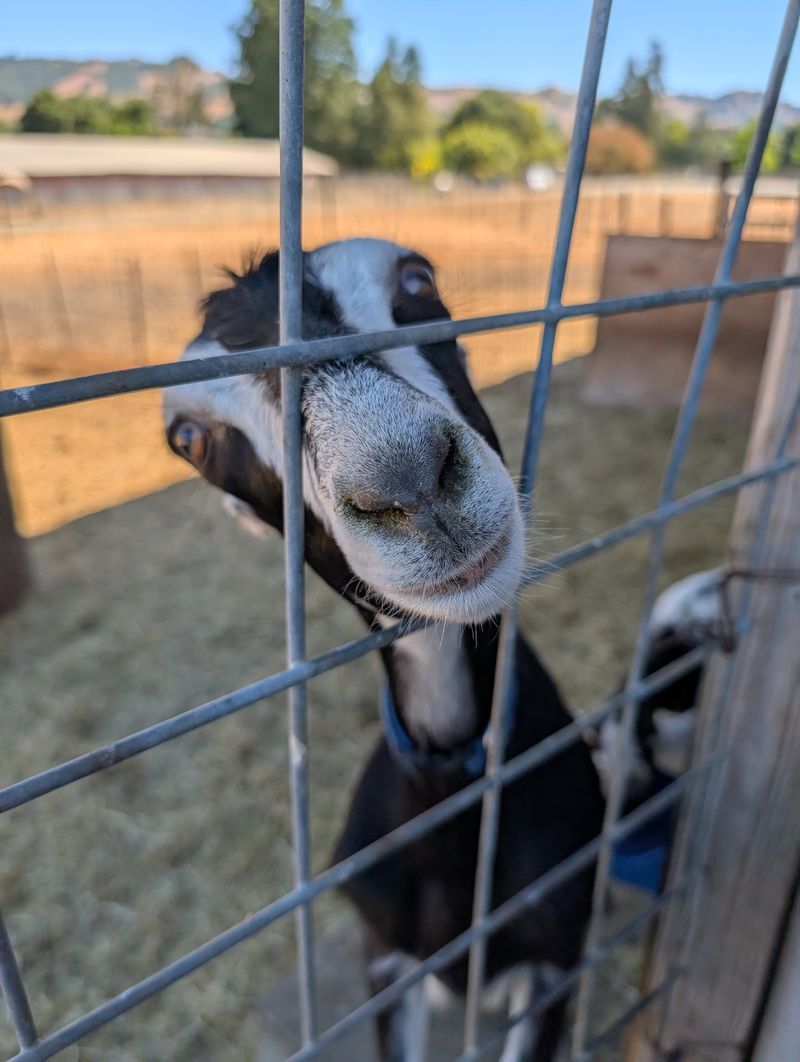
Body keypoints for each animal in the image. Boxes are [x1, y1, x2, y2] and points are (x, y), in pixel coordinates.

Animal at [164, 239, 605, 1061]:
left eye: (417, 279)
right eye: (188, 439)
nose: (406, 478)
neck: (446, 782)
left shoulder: (554, 962)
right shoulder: (387, 962)